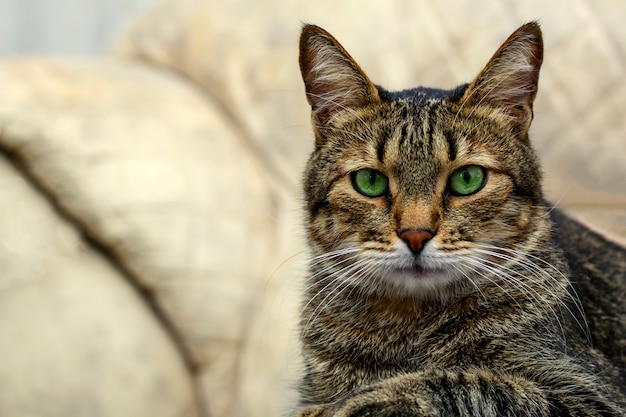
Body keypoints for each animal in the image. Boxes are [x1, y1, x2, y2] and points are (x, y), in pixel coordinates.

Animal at [294, 22, 624, 416]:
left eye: (468, 179)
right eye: (370, 182)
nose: (416, 234)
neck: (409, 330)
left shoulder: (593, 395)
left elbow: (464, 382)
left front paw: (355, 402)